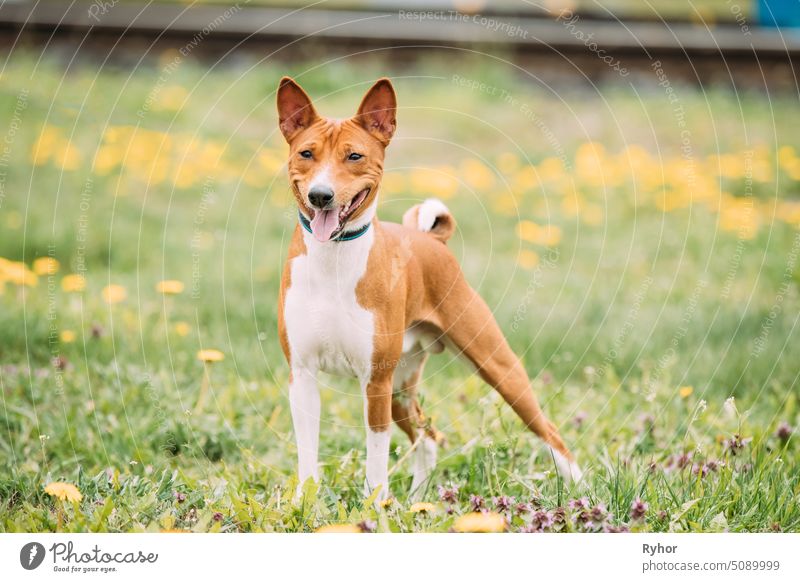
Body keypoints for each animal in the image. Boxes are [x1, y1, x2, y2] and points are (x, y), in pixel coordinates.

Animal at [276, 77, 580, 504]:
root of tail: (432, 240)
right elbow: (307, 457)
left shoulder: (376, 382)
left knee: (549, 432)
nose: (321, 195)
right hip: (403, 389)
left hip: (495, 367)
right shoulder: (303, 376)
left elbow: (375, 459)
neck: (333, 260)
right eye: (306, 153)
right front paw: (305, 505)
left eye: (354, 156)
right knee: (429, 437)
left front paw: (374, 506)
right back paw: (418, 500)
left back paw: (582, 492)